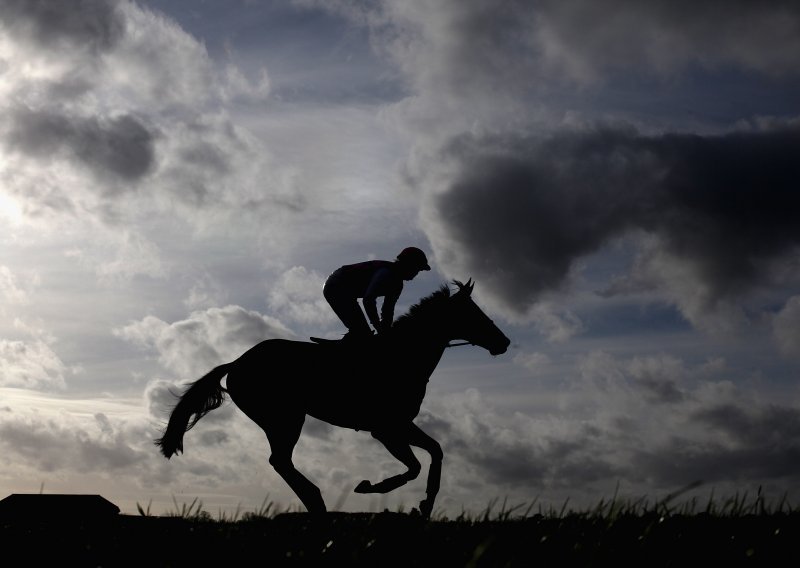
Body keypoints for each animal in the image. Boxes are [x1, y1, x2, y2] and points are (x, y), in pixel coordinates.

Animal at [153, 280, 510, 520]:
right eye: (474, 313)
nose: (503, 342)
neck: (403, 356)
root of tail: (237, 363)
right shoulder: (385, 428)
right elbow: (414, 465)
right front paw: (370, 487)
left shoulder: (400, 425)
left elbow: (435, 452)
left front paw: (425, 504)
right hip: (285, 417)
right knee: (280, 461)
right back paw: (317, 500)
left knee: (281, 461)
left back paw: (315, 502)